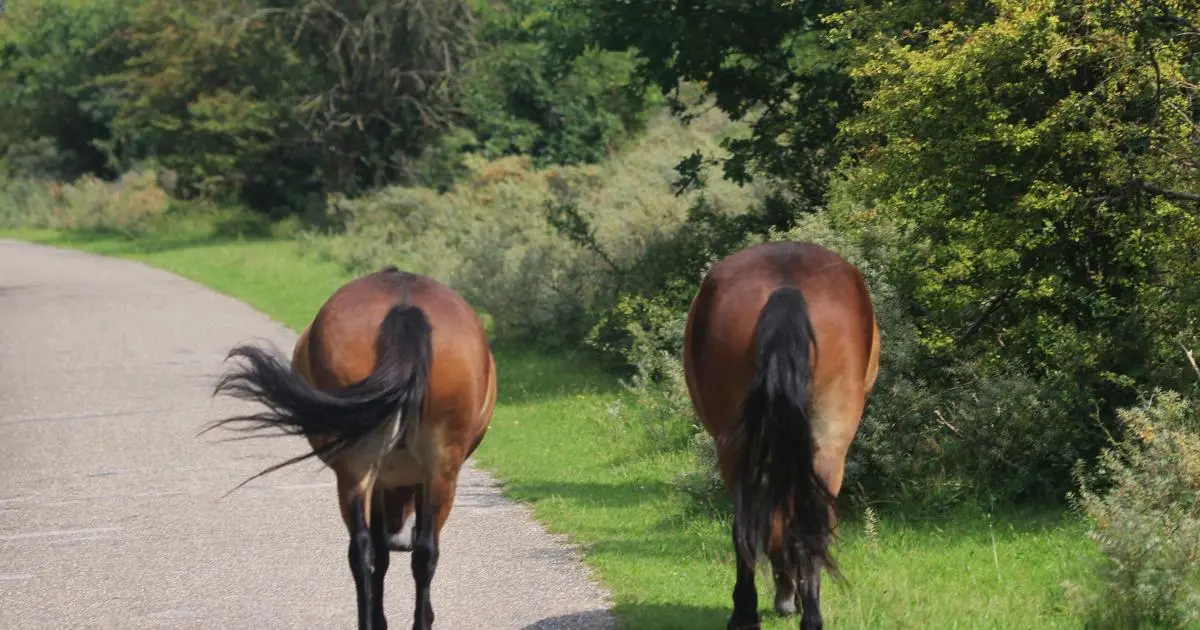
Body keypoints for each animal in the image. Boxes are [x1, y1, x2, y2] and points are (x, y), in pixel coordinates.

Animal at [207, 265, 497, 630]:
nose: (399, 537)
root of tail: (404, 309)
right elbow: (389, 552)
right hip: (427, 469)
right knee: (418, 551)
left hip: (362, 467)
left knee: (368, 549)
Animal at [682, 241, 880, 630]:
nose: (784, 599)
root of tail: (786, 286)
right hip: (824, 445)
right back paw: (791, 614)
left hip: (750, 446)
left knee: (754, 526)